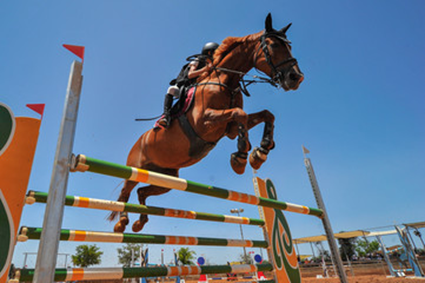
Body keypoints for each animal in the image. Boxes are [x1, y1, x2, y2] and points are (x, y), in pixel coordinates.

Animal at [109, 13, 302, 233]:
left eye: (289, 46)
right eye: (273, 45)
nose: (296, 77)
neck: (226, 81)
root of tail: (137, 142)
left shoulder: (229, 129)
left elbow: (265, 115)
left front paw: (259, 153)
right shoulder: (204, 121)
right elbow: (241, 114)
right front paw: (241, 158)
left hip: (166, 178)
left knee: (142, 192)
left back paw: (140, 222)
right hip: (136, 169)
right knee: (126, 191)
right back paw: (121, 223)